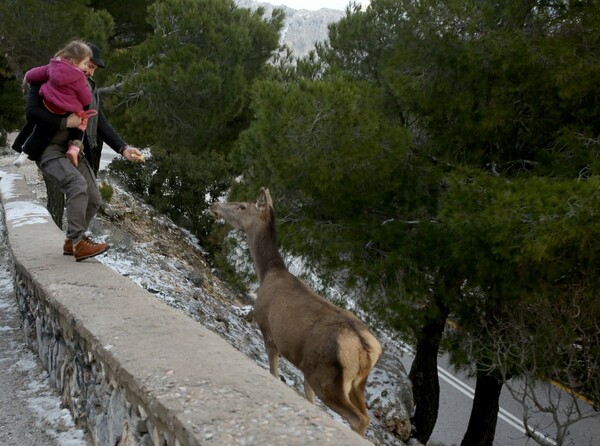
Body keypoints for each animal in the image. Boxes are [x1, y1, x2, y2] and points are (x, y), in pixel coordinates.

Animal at [209, 186, 382, 434]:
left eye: (242, 206)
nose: (214, 205)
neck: (267, 273)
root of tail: (367, 350)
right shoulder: (302, 364)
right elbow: (308, 398)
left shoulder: (269, 331)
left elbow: (273, 374)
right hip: (354, 382)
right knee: (364, 414)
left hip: (326, 376)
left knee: (359, 418)